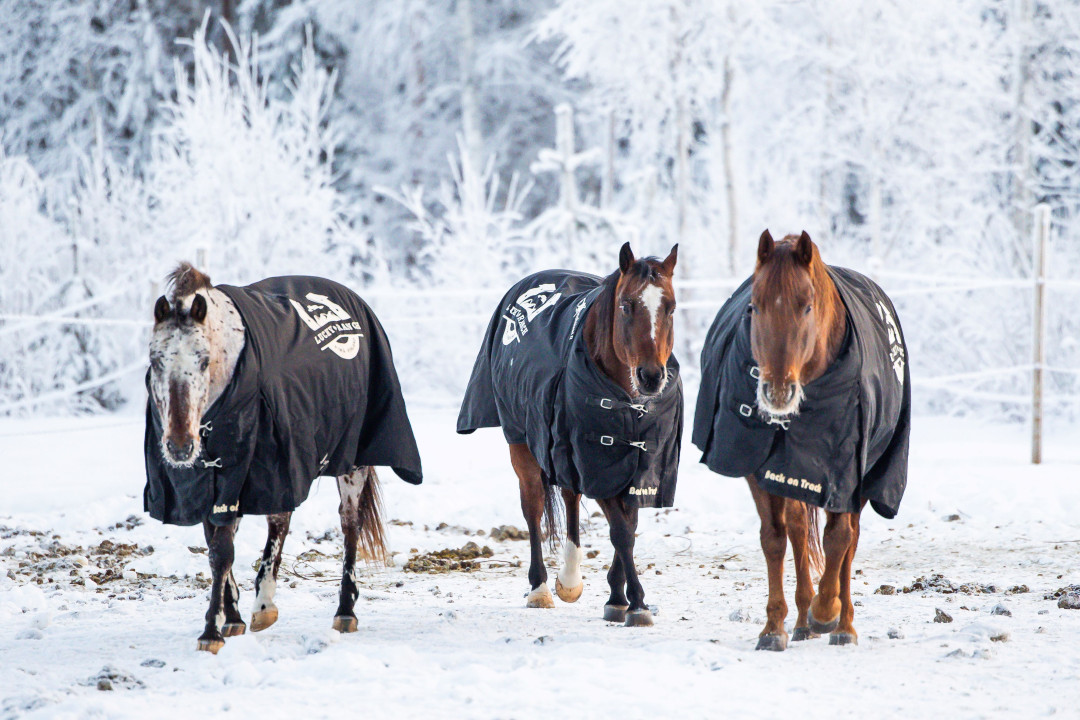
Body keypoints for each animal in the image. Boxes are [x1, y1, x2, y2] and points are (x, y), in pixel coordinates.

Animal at [145, 263, 422, 653]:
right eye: (155, 361)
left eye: (203, 360)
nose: (180, 446)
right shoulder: (208, 482)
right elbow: (218, 548)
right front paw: (230, 619)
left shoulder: (248, 470)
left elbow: (222, 551)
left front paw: (211, 632)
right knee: (281, 521)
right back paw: (262, 606)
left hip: (349, 461)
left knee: (349, 523)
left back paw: (341, 611)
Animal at [458, 243, 682, 627]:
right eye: (627, 305)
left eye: (670, 306)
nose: (652, 376)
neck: (624, 402)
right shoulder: (594, 461)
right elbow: (621, 531)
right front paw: (636, 604)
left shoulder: (634, 465)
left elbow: (629, 525)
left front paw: (617, 597)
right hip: (523, 443)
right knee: (533, 508)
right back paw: (541, 589)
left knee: (570, 496)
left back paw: (570, 579)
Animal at [693, 229, 909, 650]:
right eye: (754, 307)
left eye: (807, 307)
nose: (777, 392)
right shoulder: (756, 466)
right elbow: (776, 539)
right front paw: (774, 628)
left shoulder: (846, 472)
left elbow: (839, 538)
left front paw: (828, 613)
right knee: (797, 528)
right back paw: (802, 619)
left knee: (849, 538)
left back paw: (841, 622)